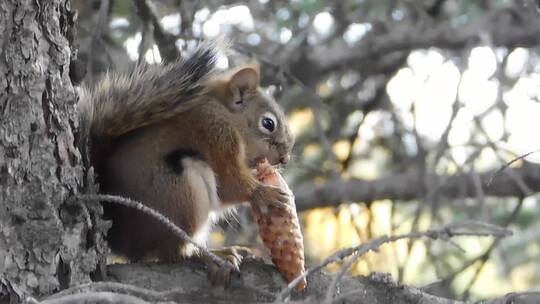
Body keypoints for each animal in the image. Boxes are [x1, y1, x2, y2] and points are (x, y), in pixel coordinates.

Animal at [78, 40, 294, 270]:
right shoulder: (216, 136)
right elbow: (230, 184)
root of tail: (123, 241)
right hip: (180, 193)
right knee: (171, 252)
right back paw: (210, 254)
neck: (226, 114)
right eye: (268, 123)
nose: (284, 159)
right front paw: (265, 193)